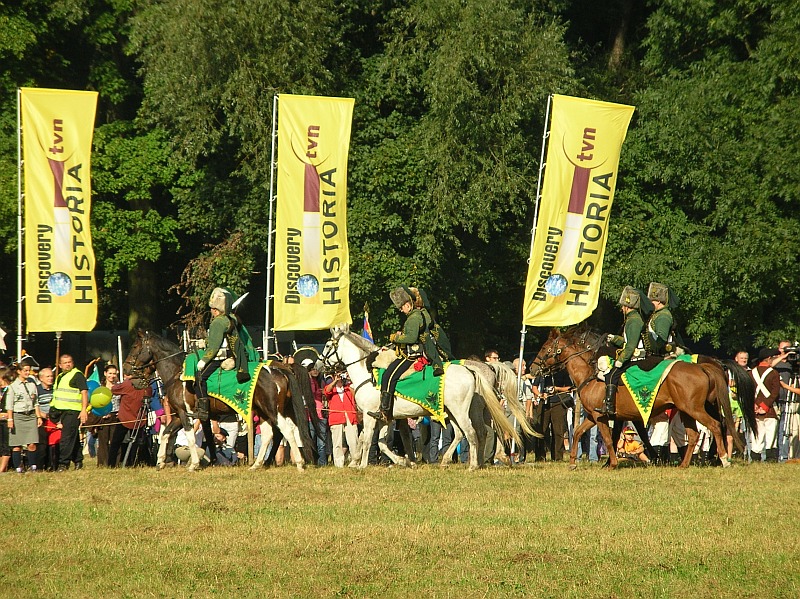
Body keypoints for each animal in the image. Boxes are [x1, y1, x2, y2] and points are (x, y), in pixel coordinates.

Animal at [123, 330, 313, 471]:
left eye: (134, 346)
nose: (126, 369)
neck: (178, 374)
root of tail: (279, 370)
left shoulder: (186, 414)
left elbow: (190, 436)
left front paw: (193, 464)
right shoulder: (179, 414)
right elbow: (166, 433)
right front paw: (161, 461)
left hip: (273, 410)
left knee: (287, 431)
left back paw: (299, 463)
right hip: (264, 411)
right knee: (269, 434)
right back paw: (257, 464)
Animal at [322, 324, 523, 470]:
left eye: (327, 345)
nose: (320, 365)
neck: (368, 372)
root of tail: (472, 370)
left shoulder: (371, 415)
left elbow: (367, 438)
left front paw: (361, 465)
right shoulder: (384, 417)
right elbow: (381, 442)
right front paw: (403, 461)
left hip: (462, 411)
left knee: (474, 432)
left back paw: (475, 464)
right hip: (456, 412)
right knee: (470, 432)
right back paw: (465, 461)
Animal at [533, 327, 756, 469]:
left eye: (544, 348)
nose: (534, 369)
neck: (592, 375)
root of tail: (705, 365)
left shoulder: (602, 417)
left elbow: (608, 437)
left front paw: (612, 463)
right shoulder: (594, 417)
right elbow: (579, 433)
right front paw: (572, 462)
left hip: (695, 409)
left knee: (716, 426)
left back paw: (723, 459)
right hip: (689, 410)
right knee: (696, 434)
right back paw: (686, 464)